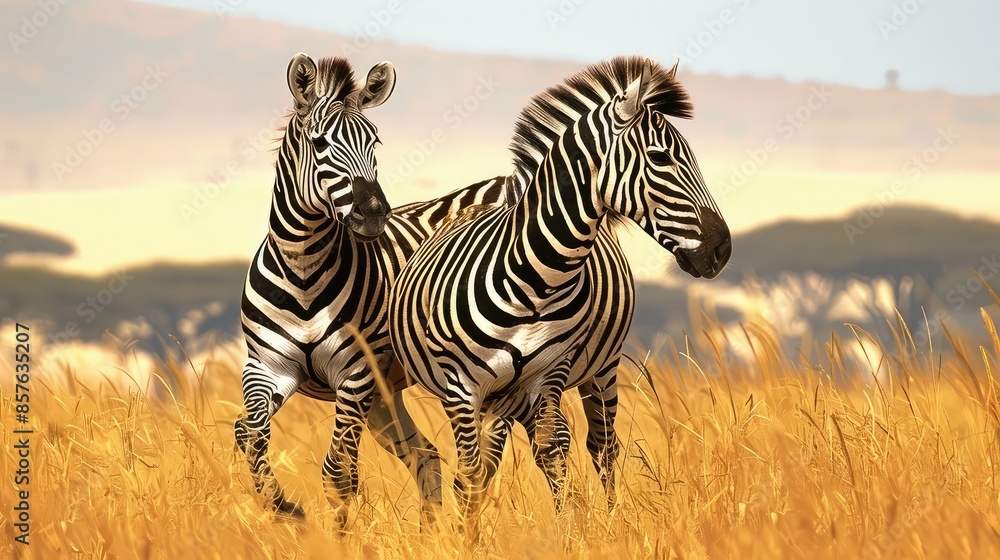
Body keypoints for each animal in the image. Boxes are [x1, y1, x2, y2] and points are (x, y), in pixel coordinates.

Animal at [234, 52, 508, 525]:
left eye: (374, 143)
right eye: (319, 144)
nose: (375, 213)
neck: (302, 271)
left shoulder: (356, 373)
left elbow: (339, 473)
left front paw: (333, 533)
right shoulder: (267, 367)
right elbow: (249, 436)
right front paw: (285, 510)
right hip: (385, 394)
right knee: (426, 454)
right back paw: (430, 533)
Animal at [388, 56, 733, 521]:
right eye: (660, 157)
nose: (722, 249)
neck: (531, 281)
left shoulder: (551, 371)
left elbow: (553, 449)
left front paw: (572, 528)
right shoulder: (461, 387)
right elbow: (471, 472)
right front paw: (466, 532)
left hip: (600, 370)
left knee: (602, 446)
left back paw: (611, 516)